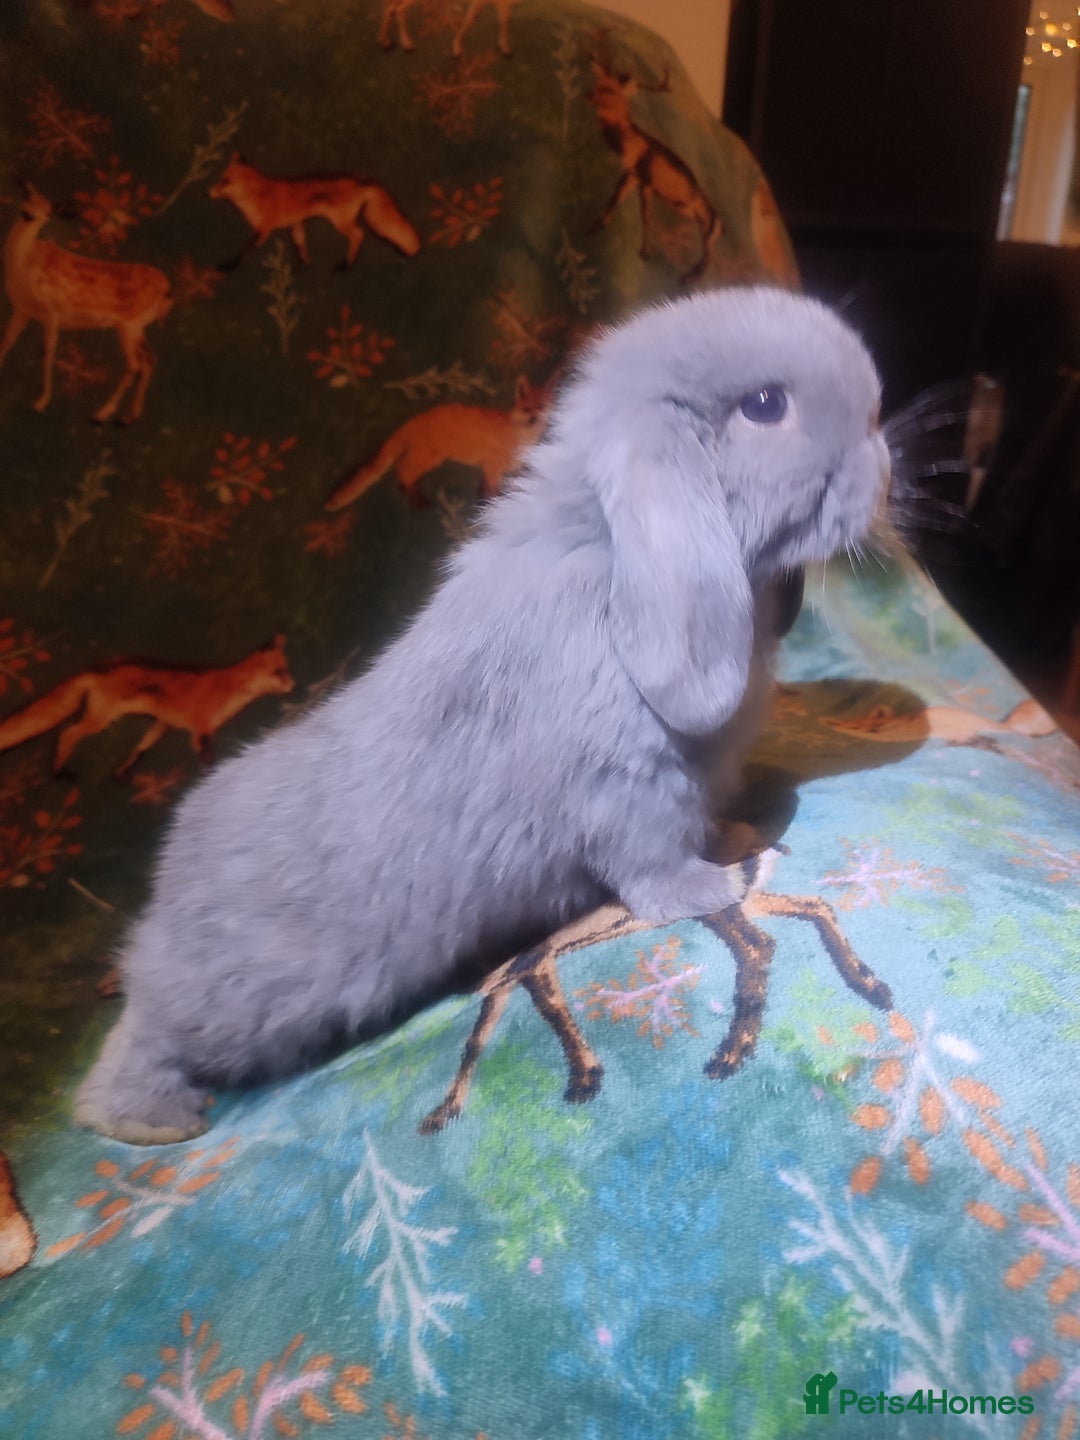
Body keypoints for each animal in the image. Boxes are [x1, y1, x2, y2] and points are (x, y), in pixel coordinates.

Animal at [74, 285, 889, 1144]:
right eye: (766, 405)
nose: (885, 466)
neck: (609, 560)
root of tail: (166, 889)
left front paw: (735, 837)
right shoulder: (626, 790)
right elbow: (654, 867)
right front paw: (717, 883)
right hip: (235, 1002)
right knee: (141, 1034)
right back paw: (152, 1120)